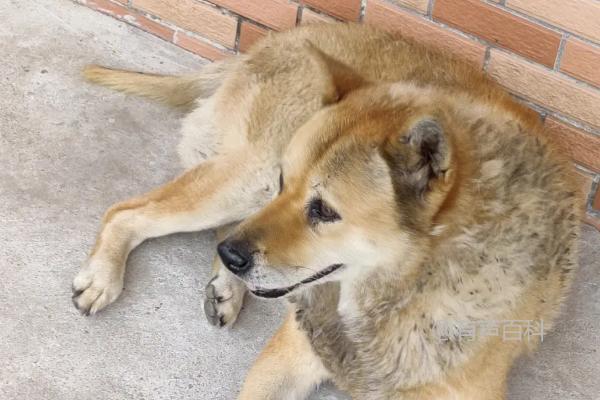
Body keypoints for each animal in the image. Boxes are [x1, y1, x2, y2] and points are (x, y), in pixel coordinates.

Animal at [71, 23, 580, 398]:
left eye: (324, 211)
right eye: (287, 182)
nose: (236, 257)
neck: (410, 288)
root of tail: (286, 35)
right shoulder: (292, 354)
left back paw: (225, 284)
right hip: (247, 182)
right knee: (127, 212)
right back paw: (106, 277)